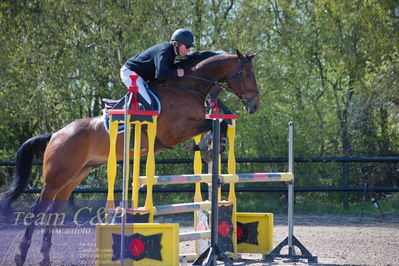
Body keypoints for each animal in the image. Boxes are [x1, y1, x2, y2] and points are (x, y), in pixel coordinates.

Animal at [0, 49, 260, 264]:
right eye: (247, 74)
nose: (255, 106)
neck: (186, 86)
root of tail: (56, 133)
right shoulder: (175, 131)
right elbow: (218, 123)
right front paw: (207, 145)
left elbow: (219, 123)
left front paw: (211, 146)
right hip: (56, 177)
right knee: (38, 209)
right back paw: (20, 255)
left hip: (74, 177)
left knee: (54, 210)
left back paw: (45, 256)